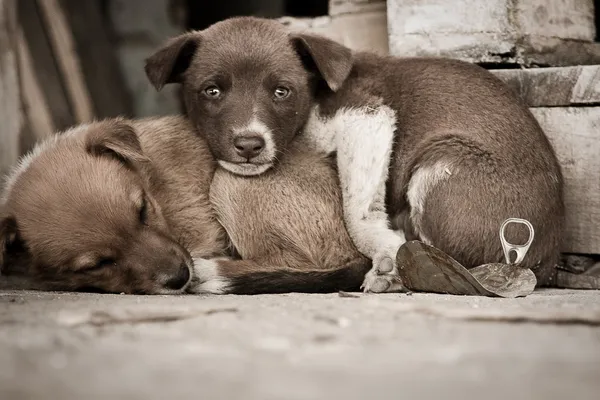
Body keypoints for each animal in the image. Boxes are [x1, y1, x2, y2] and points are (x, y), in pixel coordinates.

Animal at [0, 115, 368, 294]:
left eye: (143, 211)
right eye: (98, 264)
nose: (180, 277)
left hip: (233, 182)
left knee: (294, 263)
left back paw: (212, 272)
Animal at [148, 16, 564, 290]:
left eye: (282, 91)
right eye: (211, 91)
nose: (249, 145)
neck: (315, 98)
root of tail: (546, 261)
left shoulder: (365, 115)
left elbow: (356, 209)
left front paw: (385, 256)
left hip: (443, 162)